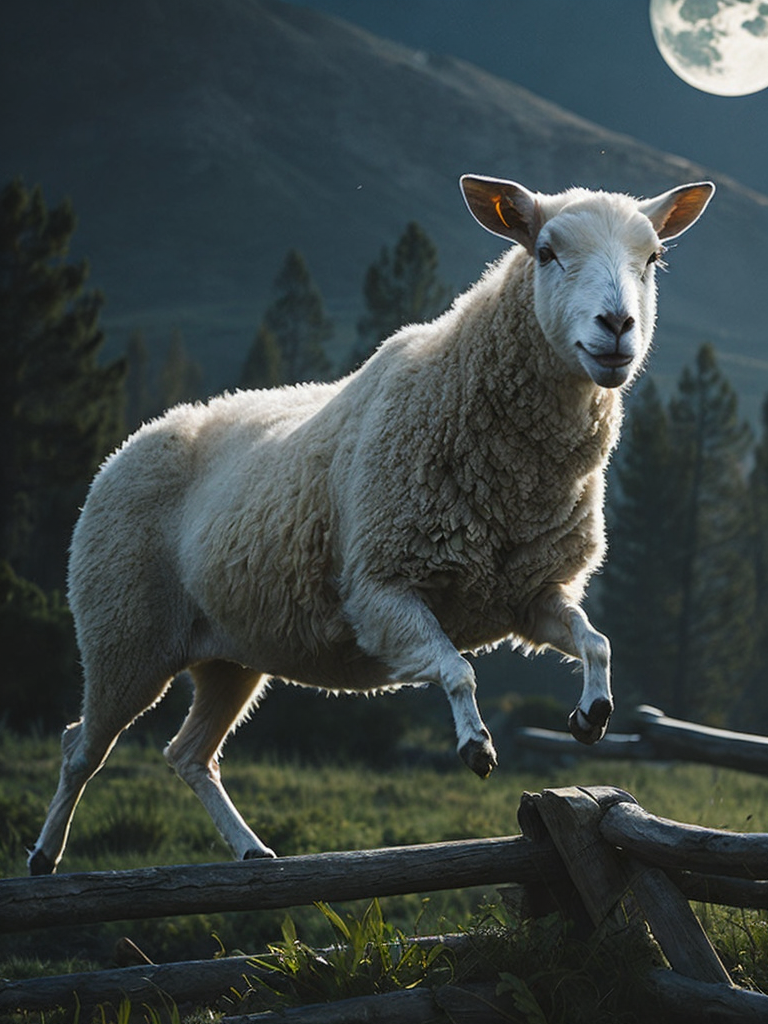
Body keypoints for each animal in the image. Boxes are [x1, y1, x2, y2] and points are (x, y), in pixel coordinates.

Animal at [28, 174, 714, 874]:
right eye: (546, 252)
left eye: (653, 259)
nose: (618, 327)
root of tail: (129, 443)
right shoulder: (379, 588)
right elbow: (457, 669)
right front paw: (476, 745)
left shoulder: (527, 595)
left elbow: (595, 640)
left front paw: (592, 714)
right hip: (124, 634)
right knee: (80, 747)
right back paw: (45, 856)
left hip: (228, 653)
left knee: (188, 753)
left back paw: (250, 850)